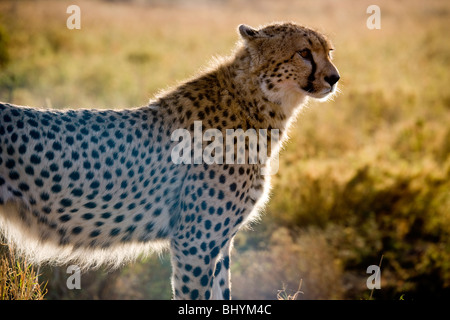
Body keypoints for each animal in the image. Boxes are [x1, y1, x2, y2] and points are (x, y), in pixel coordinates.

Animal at [0, 22, 338, 300]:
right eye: (304, 52)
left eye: (328, 51)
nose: (334, 78)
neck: (254, 104)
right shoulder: (194, 242)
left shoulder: (218, 242)